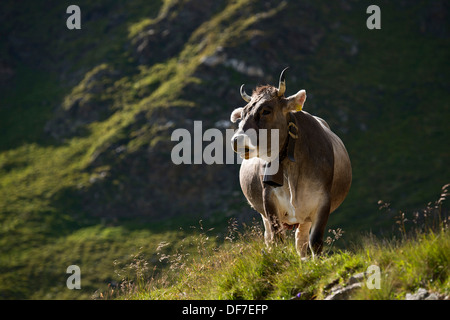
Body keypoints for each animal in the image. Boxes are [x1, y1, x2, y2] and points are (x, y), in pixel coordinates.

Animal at [232, 68, 352, 258]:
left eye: (266, 111)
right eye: (242, 115)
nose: (237, 140)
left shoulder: (323, 201)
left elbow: (315, 242)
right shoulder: (269, 200)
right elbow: (278, 239)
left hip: (305, 216)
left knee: (301, 241)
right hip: (267, 215)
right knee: (271, 238)